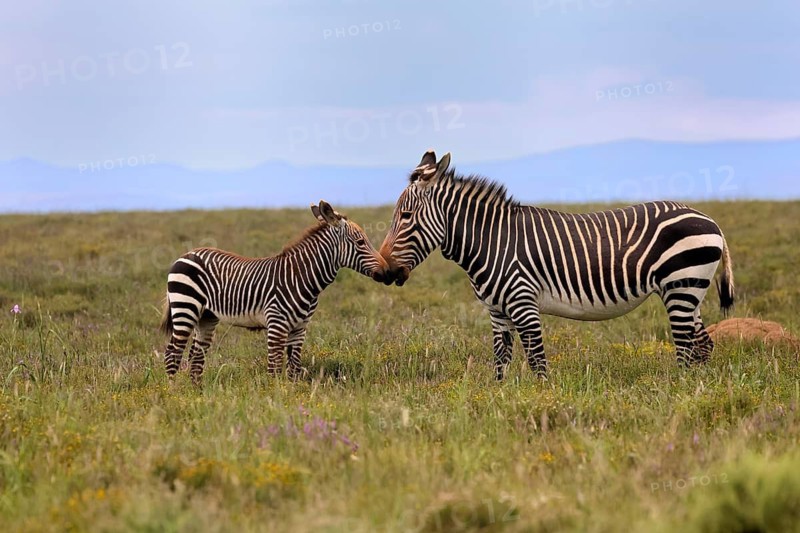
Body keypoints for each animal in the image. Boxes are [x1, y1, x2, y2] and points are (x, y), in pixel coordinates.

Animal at [160, 201, 389, 383]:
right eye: (360, 242)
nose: (388, 272)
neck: (301, 277)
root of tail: (186, 254)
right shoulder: (277, 324)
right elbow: (274, 367)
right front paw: (273, 395)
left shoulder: (300, 328)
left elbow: (294, 366)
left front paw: (292, 394)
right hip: (185, 307)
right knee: (173, 352)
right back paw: (175, 393)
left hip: (206, 316)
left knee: (196, 355)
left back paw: (196, 392)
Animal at [379, 150, 735, 380]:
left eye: (406, 216)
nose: (385, 271)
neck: (491, 241)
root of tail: (711, 221)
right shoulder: (497, 312)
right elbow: (500, 364)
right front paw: (498, 402)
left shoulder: (524, 305)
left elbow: (537, 363)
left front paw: (541, 402)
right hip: (689, 292)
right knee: (703, 344)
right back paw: (697, 391)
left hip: (681, 286)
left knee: (687, 347)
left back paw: (682, 391)